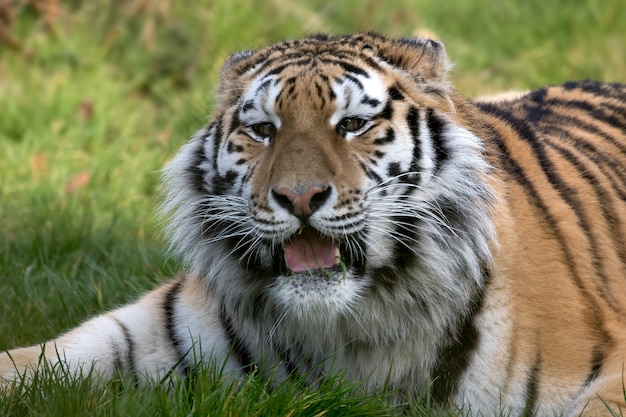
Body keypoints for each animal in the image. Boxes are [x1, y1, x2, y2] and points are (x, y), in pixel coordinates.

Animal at [1, 33, 624, 416]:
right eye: (262, 130)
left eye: (351, 125)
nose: (299, 197)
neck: (349, 325)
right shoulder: (161, 326)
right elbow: (37, 359)